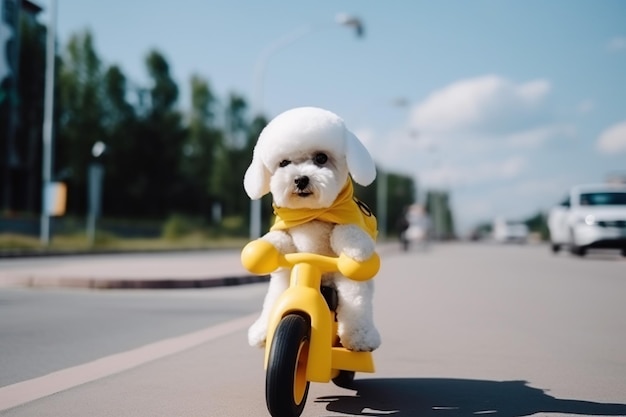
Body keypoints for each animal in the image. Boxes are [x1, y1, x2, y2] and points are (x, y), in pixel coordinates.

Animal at [243, 105, 380, 352]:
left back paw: (362, 337)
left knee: (356, 301)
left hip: (348, 284)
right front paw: (260, 249)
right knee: (273, 298)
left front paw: (357, 249)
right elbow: (279, 239)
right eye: (284, 163)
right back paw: (261, 331)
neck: (311, 214)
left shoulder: (349, 224)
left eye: (321, 158)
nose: (300, 179)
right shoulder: (287, 234)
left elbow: (347, 233)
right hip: (283, 280)